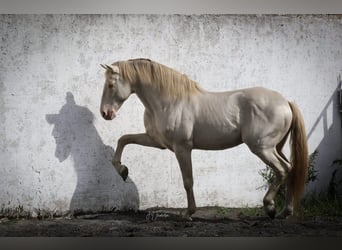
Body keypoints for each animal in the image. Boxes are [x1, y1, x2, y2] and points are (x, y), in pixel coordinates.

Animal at [98, 58, 308, 219]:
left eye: (110, 85)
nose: (105, 113)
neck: (169, 102)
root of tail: (286, 102)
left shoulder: (182, 148)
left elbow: (188, 180)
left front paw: (189, 213)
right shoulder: (156, 141)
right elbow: (123, 139)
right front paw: (123, 170)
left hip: (262, 148)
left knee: (282, 169)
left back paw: (270, 207)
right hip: (274, 148)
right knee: (290, 168)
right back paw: (284, 212)